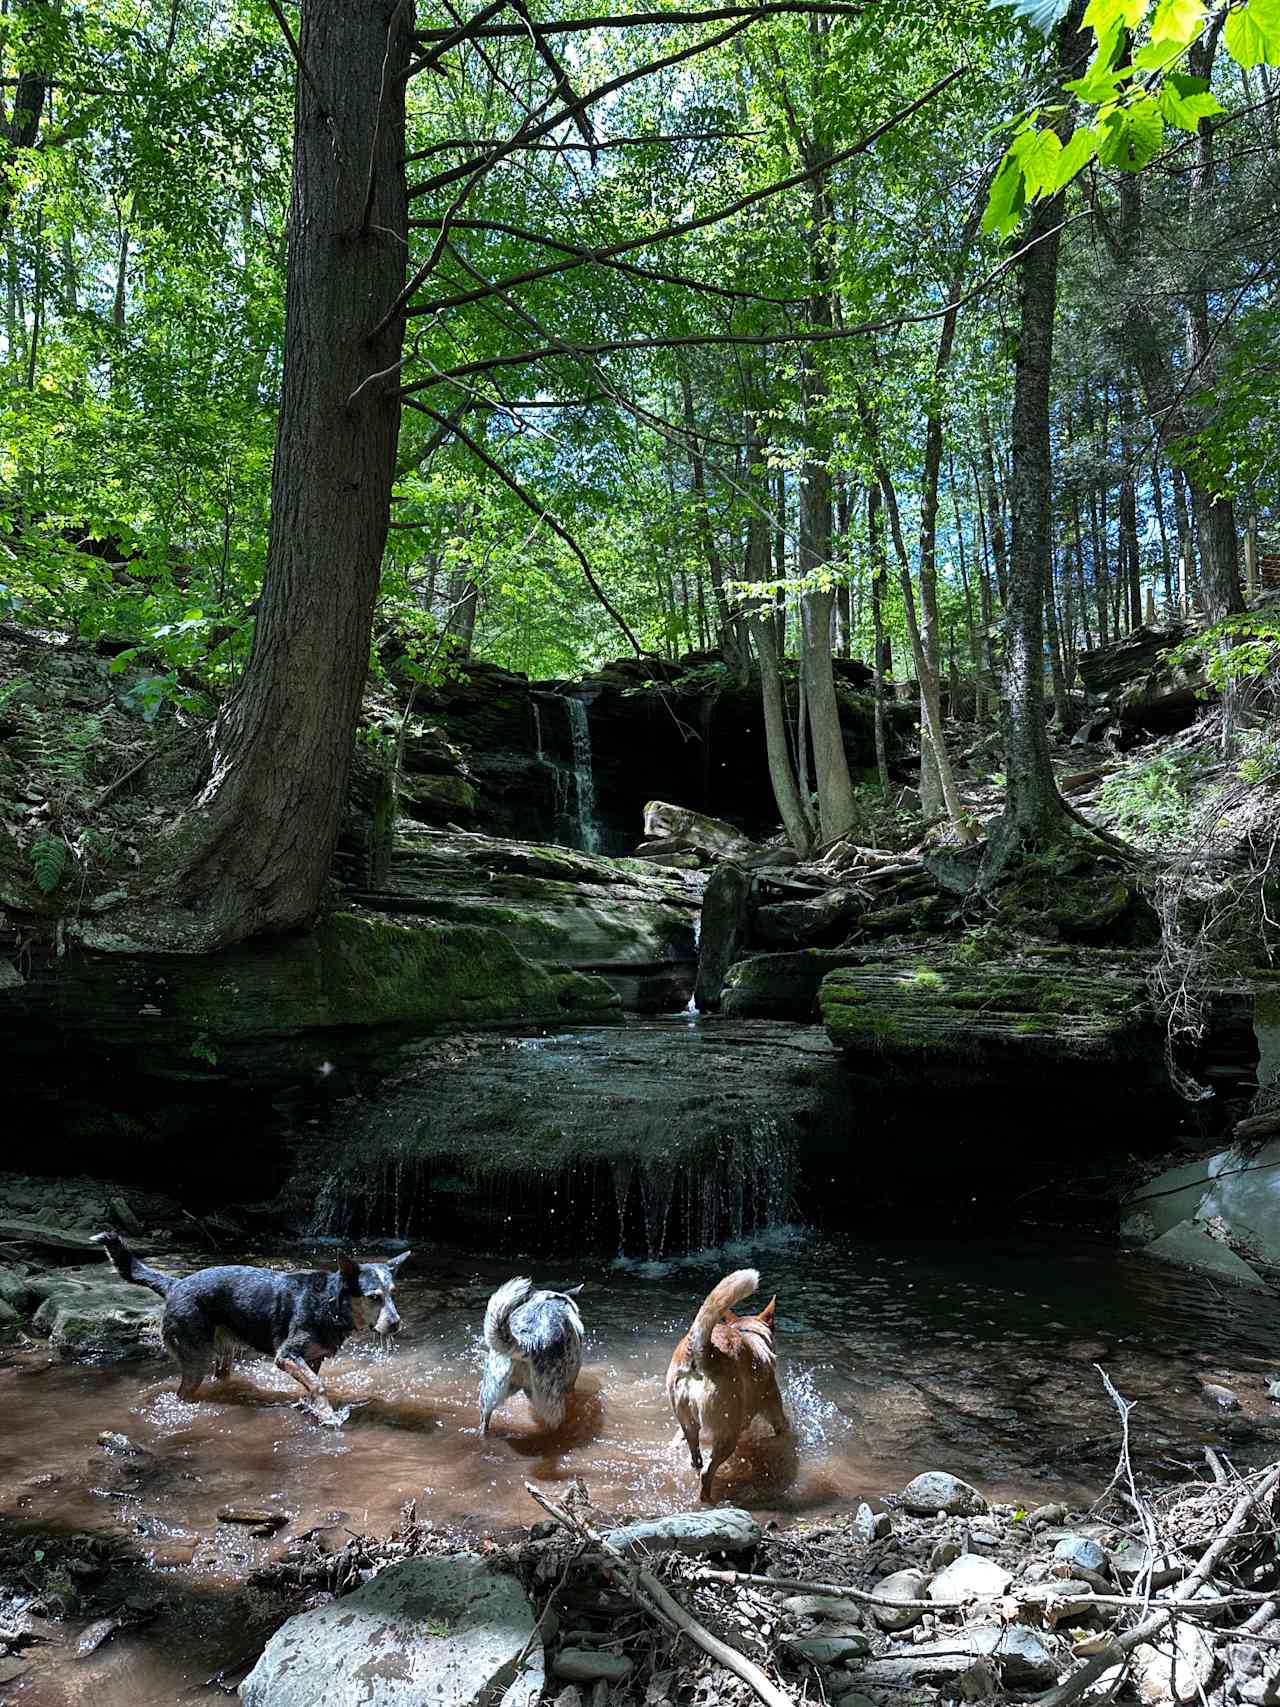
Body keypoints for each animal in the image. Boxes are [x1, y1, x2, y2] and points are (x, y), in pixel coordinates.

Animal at [95, 1229, 411, 1427]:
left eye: (393, 1292)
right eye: (374, 1297)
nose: (396, 1324)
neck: (331, 1304)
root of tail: (174, 1284)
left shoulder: (313, 1358)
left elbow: (311, 1385)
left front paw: (311, 1407)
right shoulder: (286, 1355)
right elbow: (318, 1386)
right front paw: (329, 1417)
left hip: (223, 1351)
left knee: (220, 1375)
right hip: (195, 1355)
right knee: (182, 1392)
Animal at [665, 1270, 788, 1495]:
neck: (748, 1333)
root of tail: (703, 1351)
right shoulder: (775, 1413)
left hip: (687, 1422)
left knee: (695, 1459)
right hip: (728, 1433)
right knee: (707, 1472)